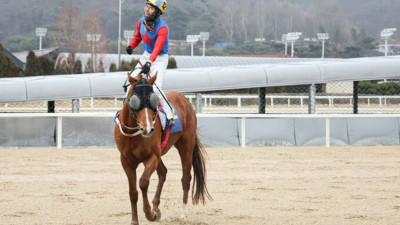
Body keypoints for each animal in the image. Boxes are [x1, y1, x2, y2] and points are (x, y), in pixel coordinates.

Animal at [113, 72, 212, 225]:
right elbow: (133, 192)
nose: (148, 129)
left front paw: (149, 213)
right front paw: (135, 220)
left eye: (153, 101)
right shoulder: (126, 161)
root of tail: (183, 98)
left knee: (186, 178)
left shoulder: (152, 157)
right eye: (135, 100)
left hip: (186, 145)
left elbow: (143, 182)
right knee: (163, 173)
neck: (134, 133)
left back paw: (182, 214)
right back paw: (156, 207)